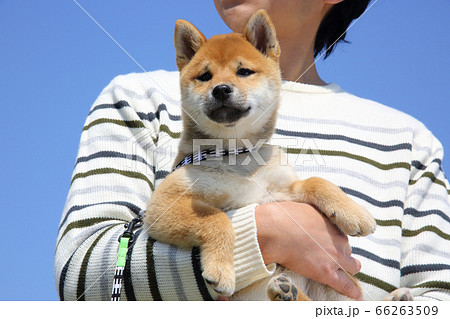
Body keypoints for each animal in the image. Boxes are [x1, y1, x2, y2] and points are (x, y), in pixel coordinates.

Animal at [144, 8, 376, 302]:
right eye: (205, 76)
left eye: (244, 71)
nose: (221, 89)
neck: (238, 154)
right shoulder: (163, 205)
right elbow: (218, 220)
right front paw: (221, 270)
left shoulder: (282, 191)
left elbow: (316, 181)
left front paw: (354, 213)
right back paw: (285, 291)